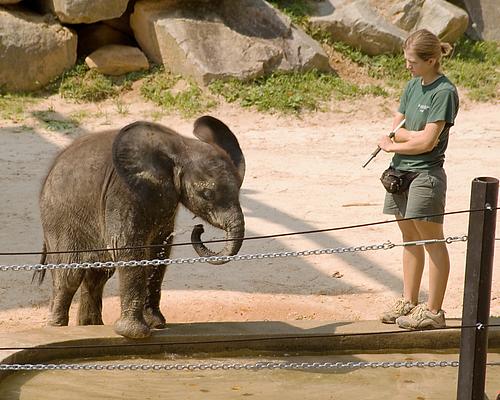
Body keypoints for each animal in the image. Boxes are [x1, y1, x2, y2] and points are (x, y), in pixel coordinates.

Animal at [35, 115, 246, 338]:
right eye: (207, 194)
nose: (199, 228)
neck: (180, 146)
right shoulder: (123, 192)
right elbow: (127, 246)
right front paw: (135, 334)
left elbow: (159, 251)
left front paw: (157, 324)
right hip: (59, 219)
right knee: (69, 275)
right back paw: (57, 329)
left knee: (98, 275)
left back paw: (91, 327)